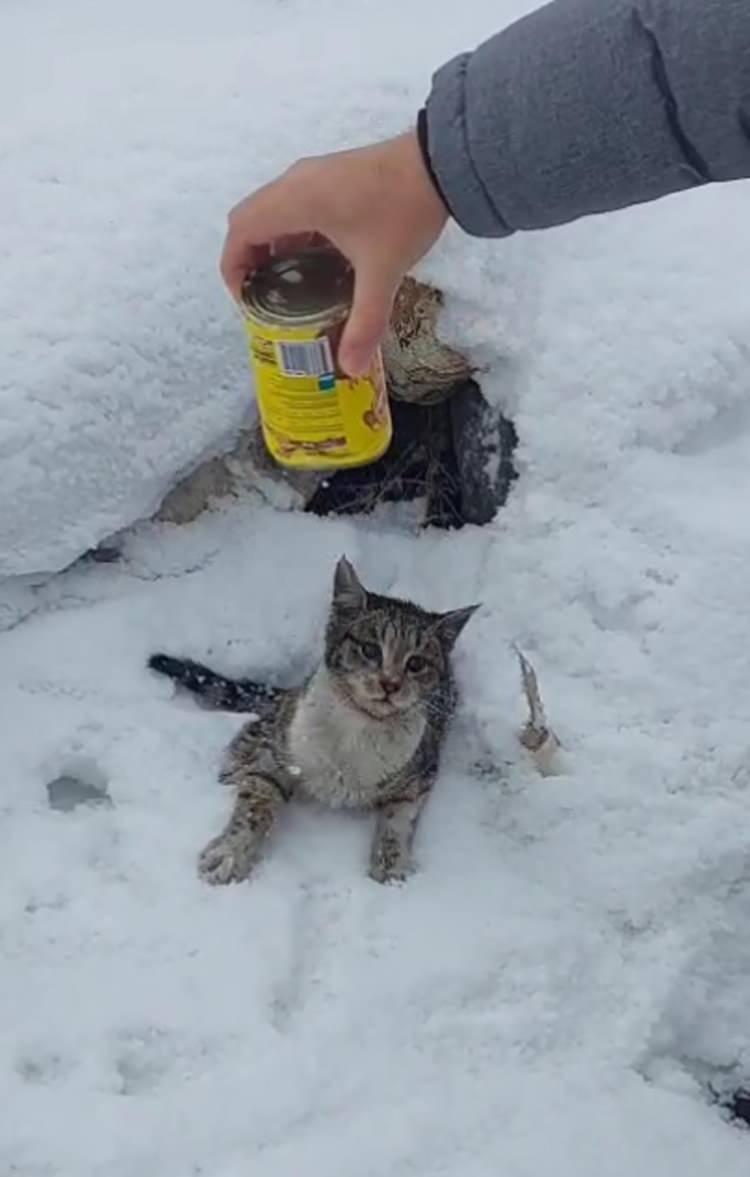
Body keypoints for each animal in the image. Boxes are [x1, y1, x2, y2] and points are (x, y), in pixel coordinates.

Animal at [148, 557, 475, 885]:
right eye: (369, 649)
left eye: (416, 663)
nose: (390, 684)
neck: (360, 725)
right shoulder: (277, 753)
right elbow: (256, 800)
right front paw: (230, 852)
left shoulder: (421, 770)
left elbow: (399, 816)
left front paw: (391, 865)